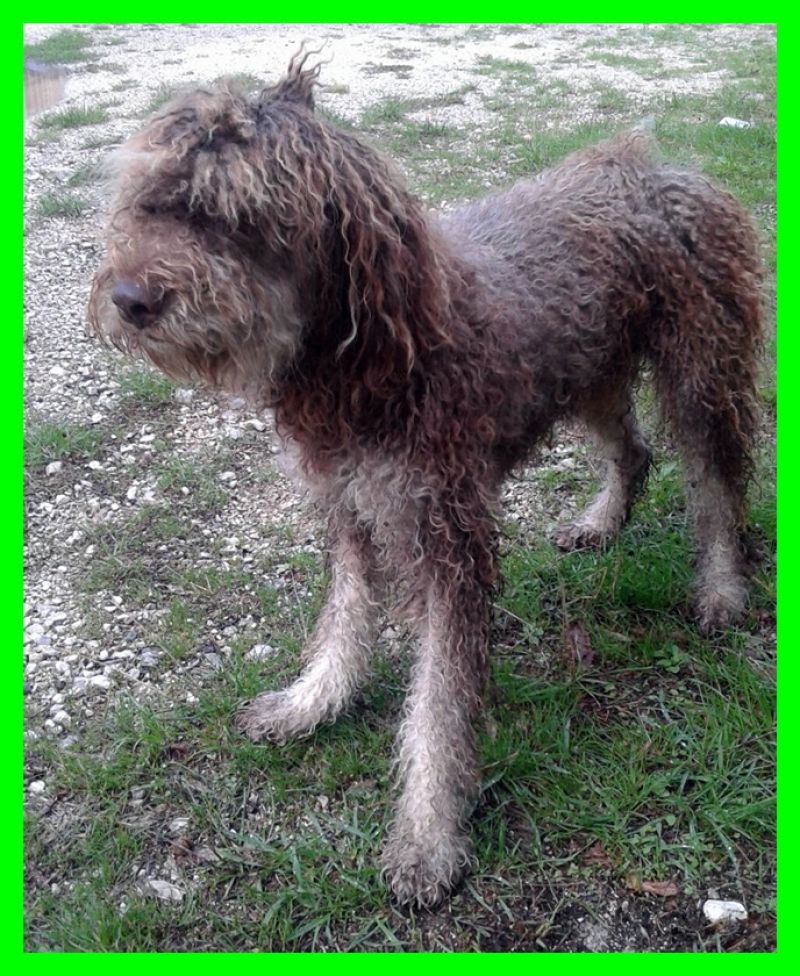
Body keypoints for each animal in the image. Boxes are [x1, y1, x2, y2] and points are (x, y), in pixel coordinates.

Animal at [89, 53, 764, 908]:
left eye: (233, 216)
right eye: (150, 202)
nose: (128, 299)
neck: (361, 366)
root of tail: (655, 162)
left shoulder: (447, 539)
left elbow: (437, 705)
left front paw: (427, 836)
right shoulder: (348, 507)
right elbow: (343, 623)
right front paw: (313, 702)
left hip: (701, 374)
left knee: (717, 486)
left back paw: (722, 587)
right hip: (588, 371)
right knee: (634, 451)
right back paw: (603, 521)